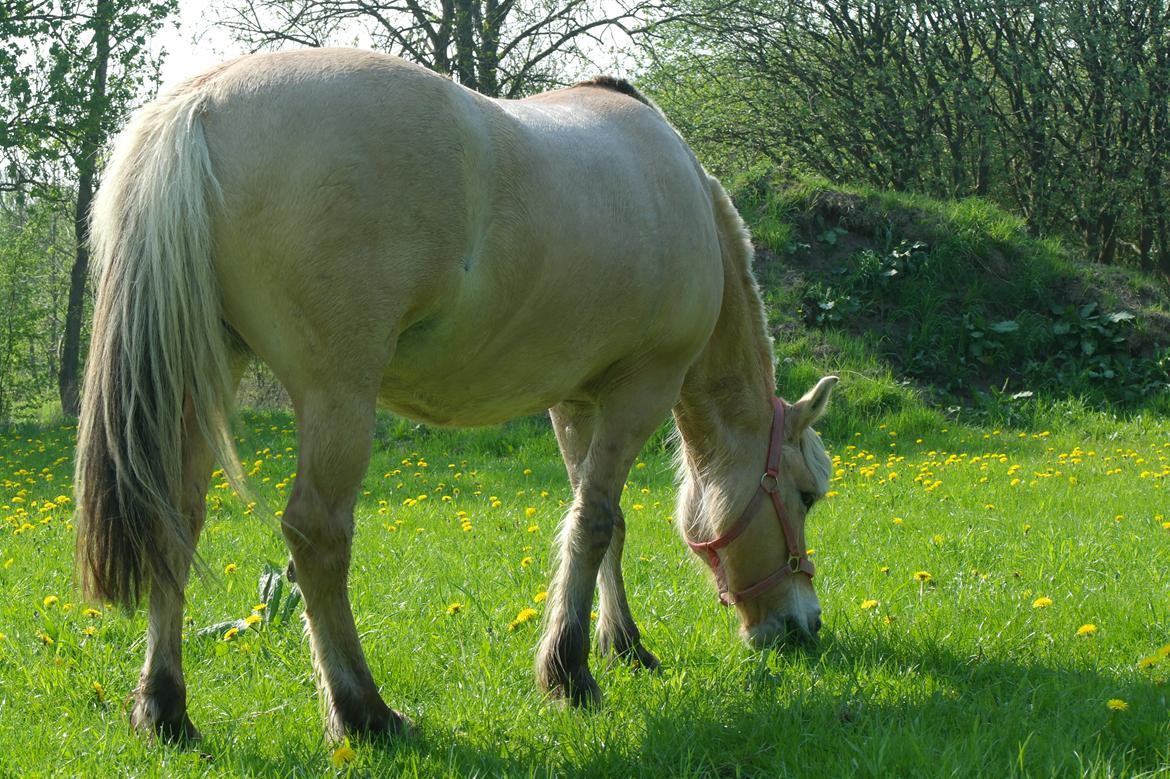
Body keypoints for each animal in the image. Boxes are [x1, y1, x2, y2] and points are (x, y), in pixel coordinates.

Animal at [73, 48, 837, 739]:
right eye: (805, 495)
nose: (803, 625)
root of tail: (203, 103)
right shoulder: (638, 390)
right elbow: (594, 522)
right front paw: (570, 672)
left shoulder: (575, 402)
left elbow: (603, 523)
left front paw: (622, 645)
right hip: (336, 397)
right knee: (316, 536)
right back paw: (365, 712)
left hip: (202, 381)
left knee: (175, 518)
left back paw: (166, 709)